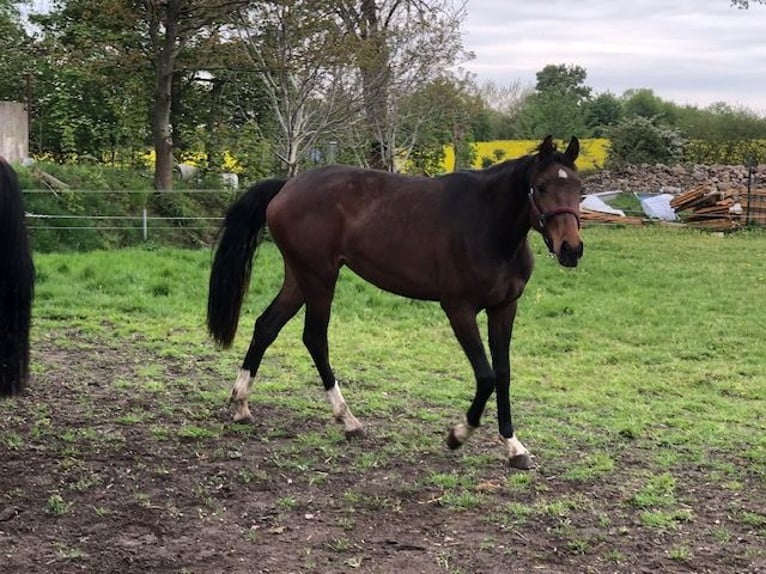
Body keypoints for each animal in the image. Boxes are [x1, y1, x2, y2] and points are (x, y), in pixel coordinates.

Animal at [207, 135, 583, 469]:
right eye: (541, 187)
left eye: (579, 189)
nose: (571, 249)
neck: (488, 224)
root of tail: (288, 185)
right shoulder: (459, 309)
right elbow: (486, 375)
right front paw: (458, 435)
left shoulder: (504, 308)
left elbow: (503, 374)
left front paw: (514, 447)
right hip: (319, 279)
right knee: (314, 338)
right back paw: (349, 420)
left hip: (300, 279)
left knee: (266, 326)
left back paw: (241, 404)